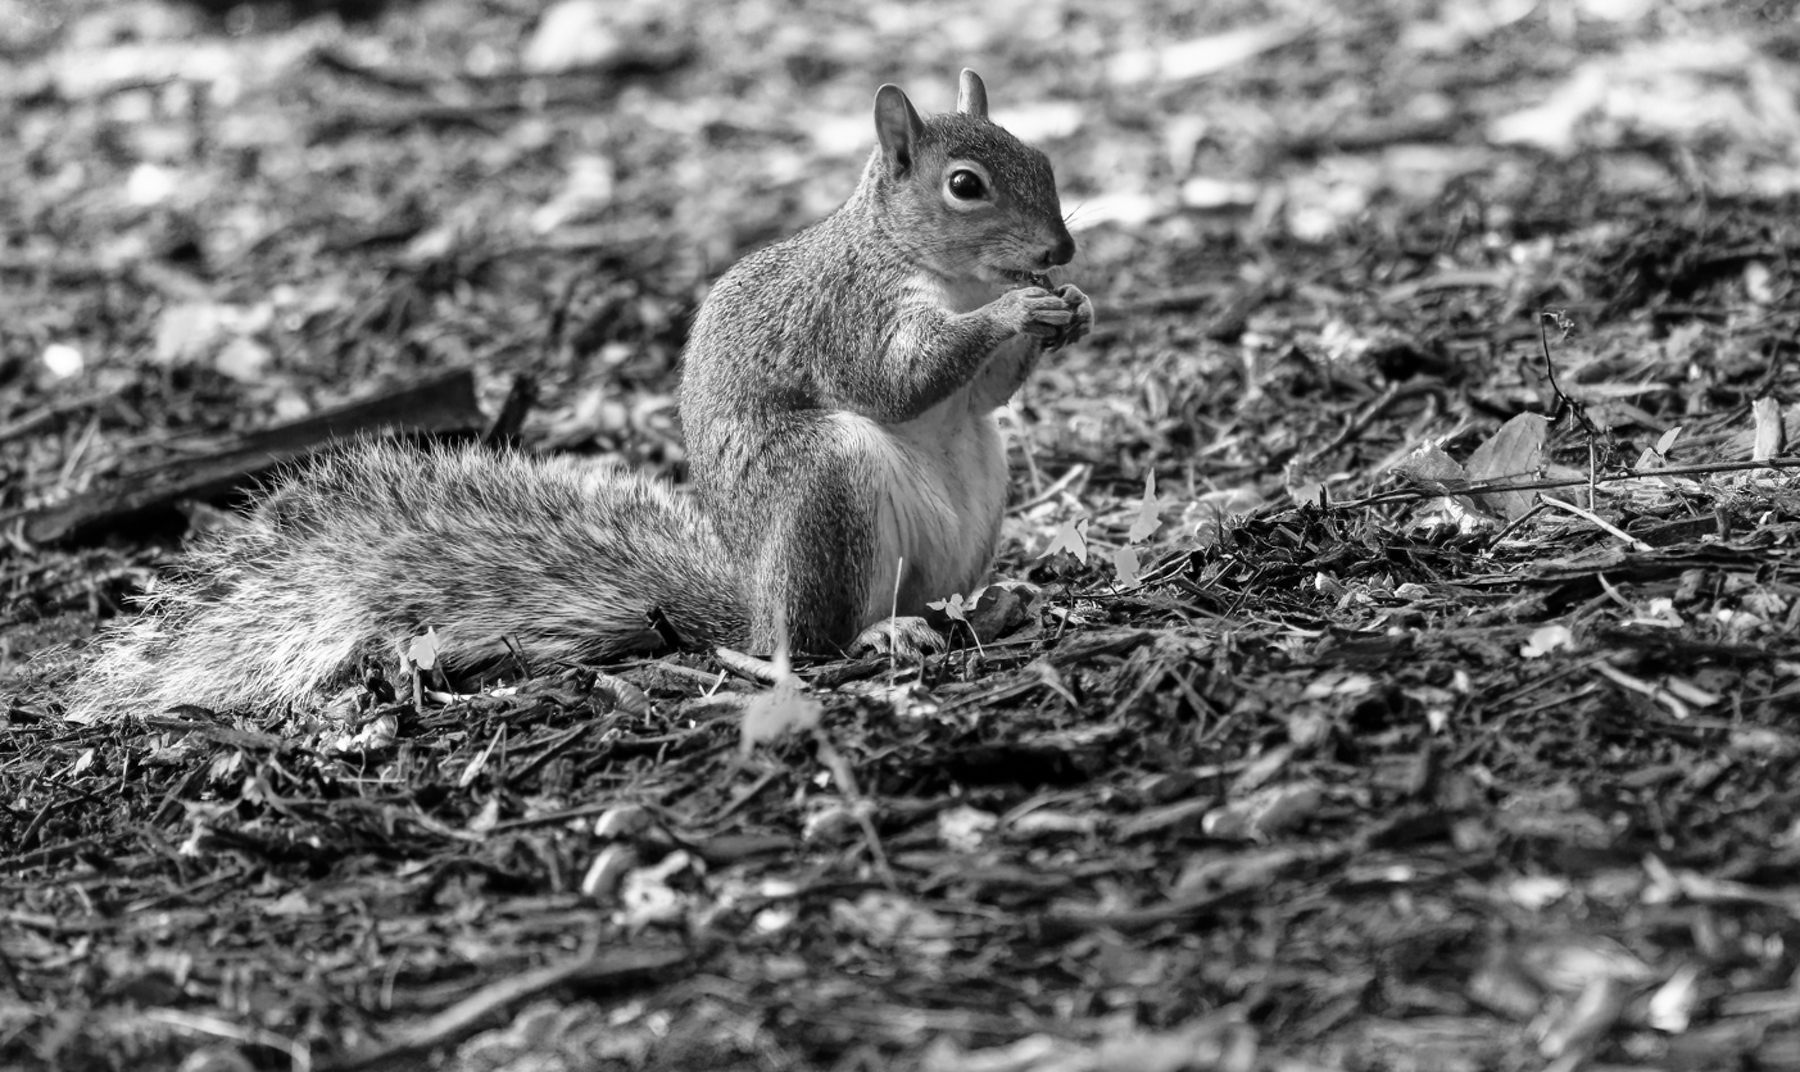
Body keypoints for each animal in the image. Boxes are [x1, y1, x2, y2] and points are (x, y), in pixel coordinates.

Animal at [63, 69, 1087, 719]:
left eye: (1044, 157)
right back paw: (876, 638)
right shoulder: (848, 311)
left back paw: (981, 608)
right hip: (824, 489)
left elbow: (981, 399)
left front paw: (1067, 311)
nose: (1064, 251)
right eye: (966, 185)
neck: (932, 266)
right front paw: (1018, 309)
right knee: (804, 643)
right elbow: (898, 378)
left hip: (978, 495)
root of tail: (753, 599)